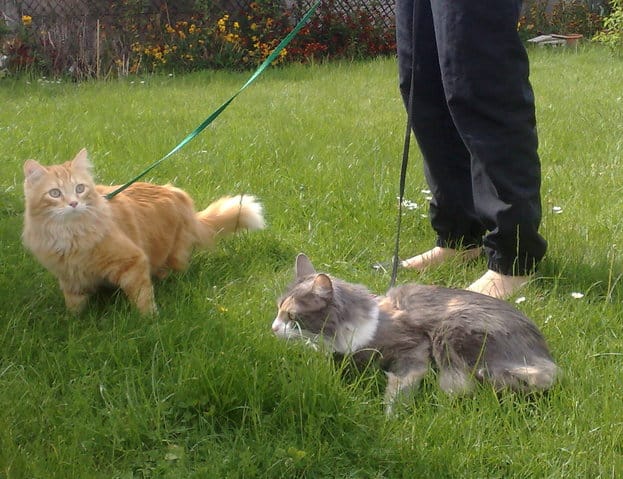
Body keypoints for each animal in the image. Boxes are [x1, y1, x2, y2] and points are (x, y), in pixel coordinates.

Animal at [22, 148, 265, 315]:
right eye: (55, 193)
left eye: (80, 189)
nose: (73, 203)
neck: (70, 232)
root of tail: (179, 195)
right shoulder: (70, 278)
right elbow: (74, 306)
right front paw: (74, 323)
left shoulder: (132, 260)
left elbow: (142, 298)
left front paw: (150, 319)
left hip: (171, 255)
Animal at [272, 254, 559, 413]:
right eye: (277, 309)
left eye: (292, 317)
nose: (273, 328)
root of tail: (544, 352)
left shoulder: (413, 348)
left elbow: (400, 386)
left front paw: (390, 417)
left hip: (452, 330)